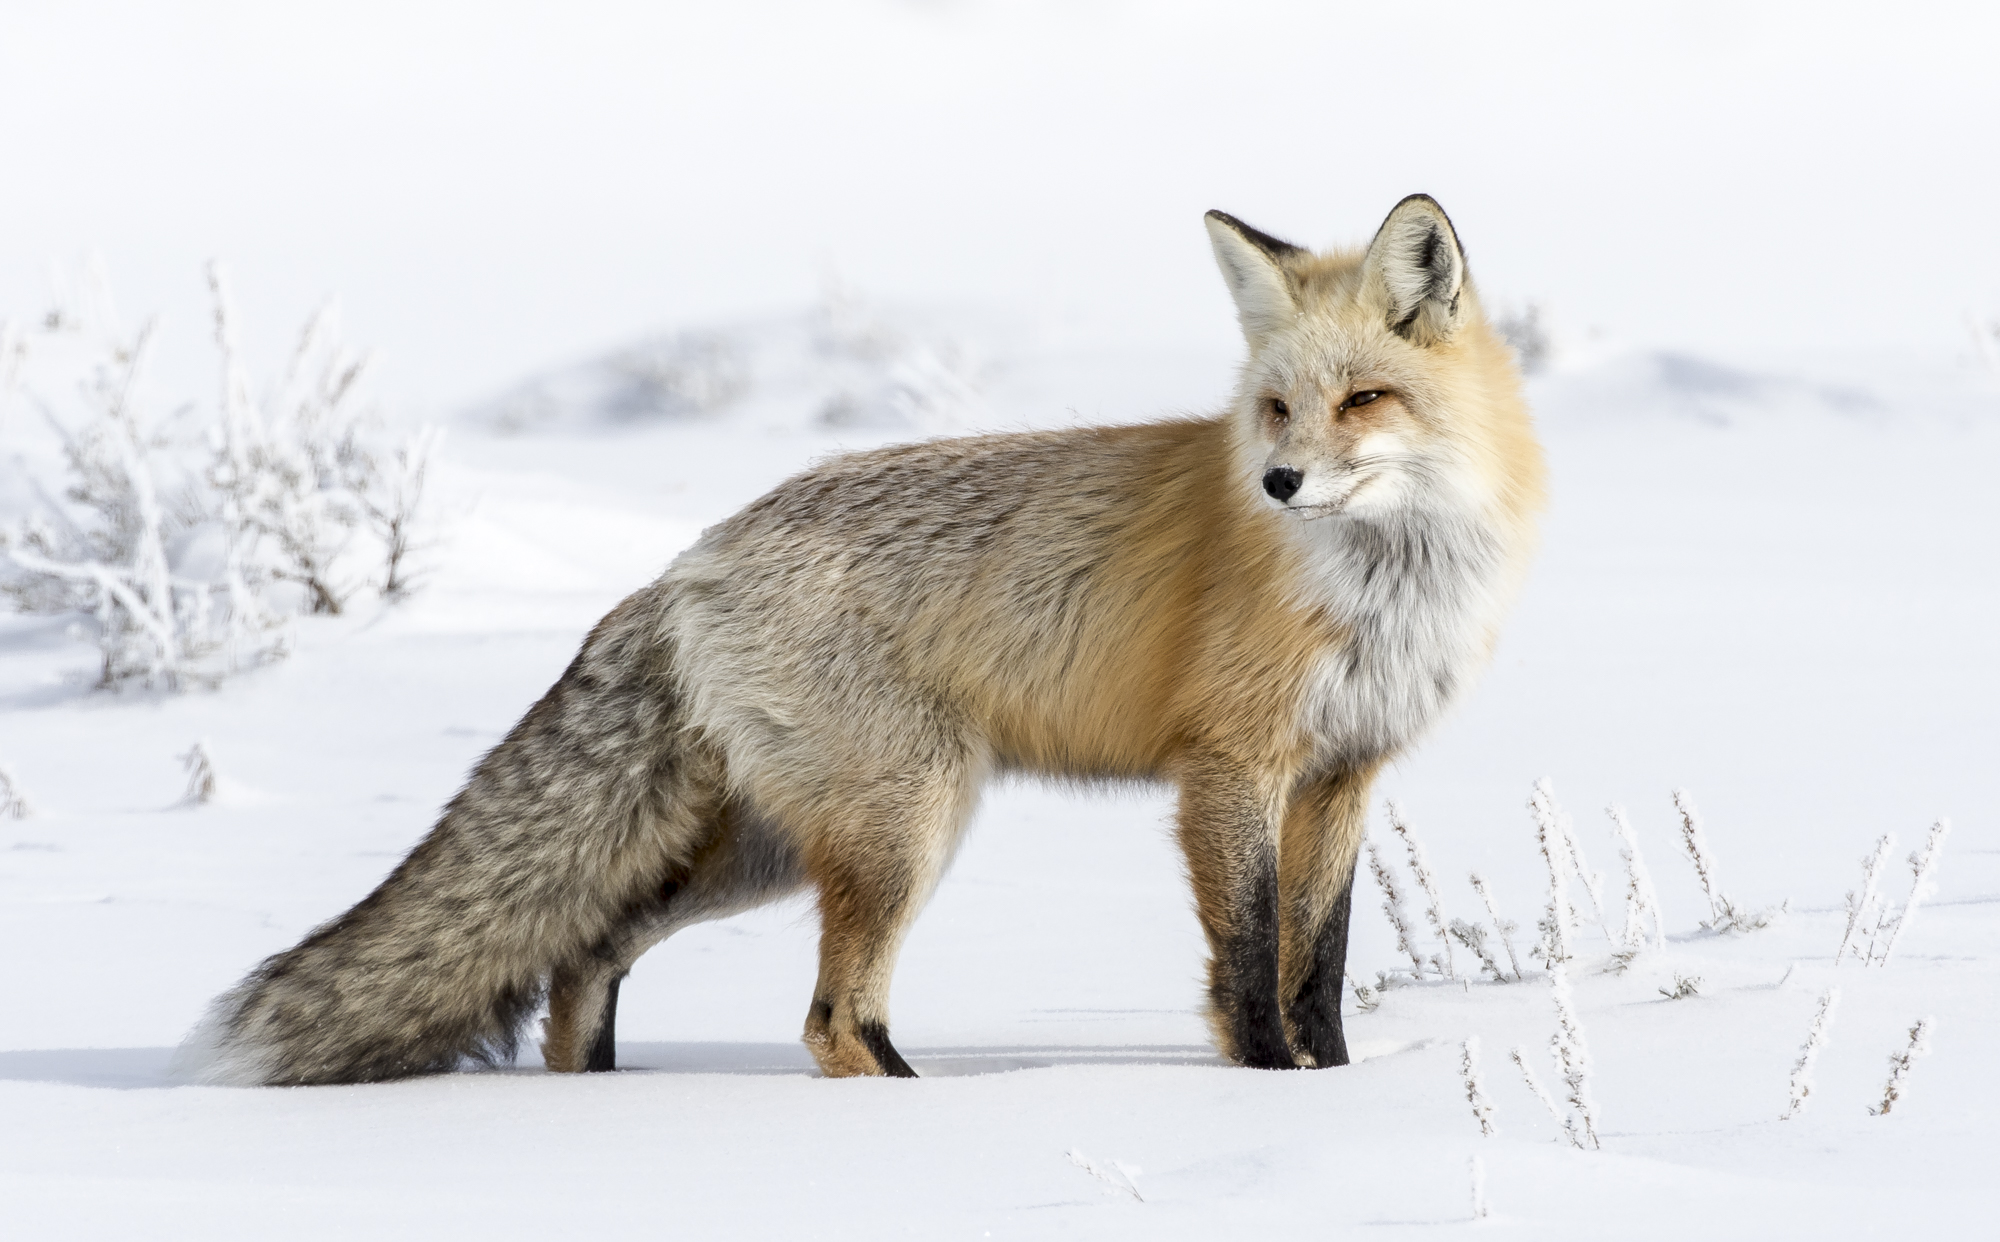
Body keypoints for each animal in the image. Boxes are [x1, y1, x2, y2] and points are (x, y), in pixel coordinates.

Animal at [183, 194, 1545, 1085]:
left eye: (1361, 399)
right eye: (1272, 408)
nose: (1274, 483)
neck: (1386, 584)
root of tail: (685, 561)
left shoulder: (1341, 773)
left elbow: (1316, 961)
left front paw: (1337, 1084)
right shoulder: (1230, 768)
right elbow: (1250, 959)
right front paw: (1267, 1090)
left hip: (768, 849)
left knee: (586, 953)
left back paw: (594, 1096)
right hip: (903, 826)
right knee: (830, 1020)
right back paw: (902, 1119)